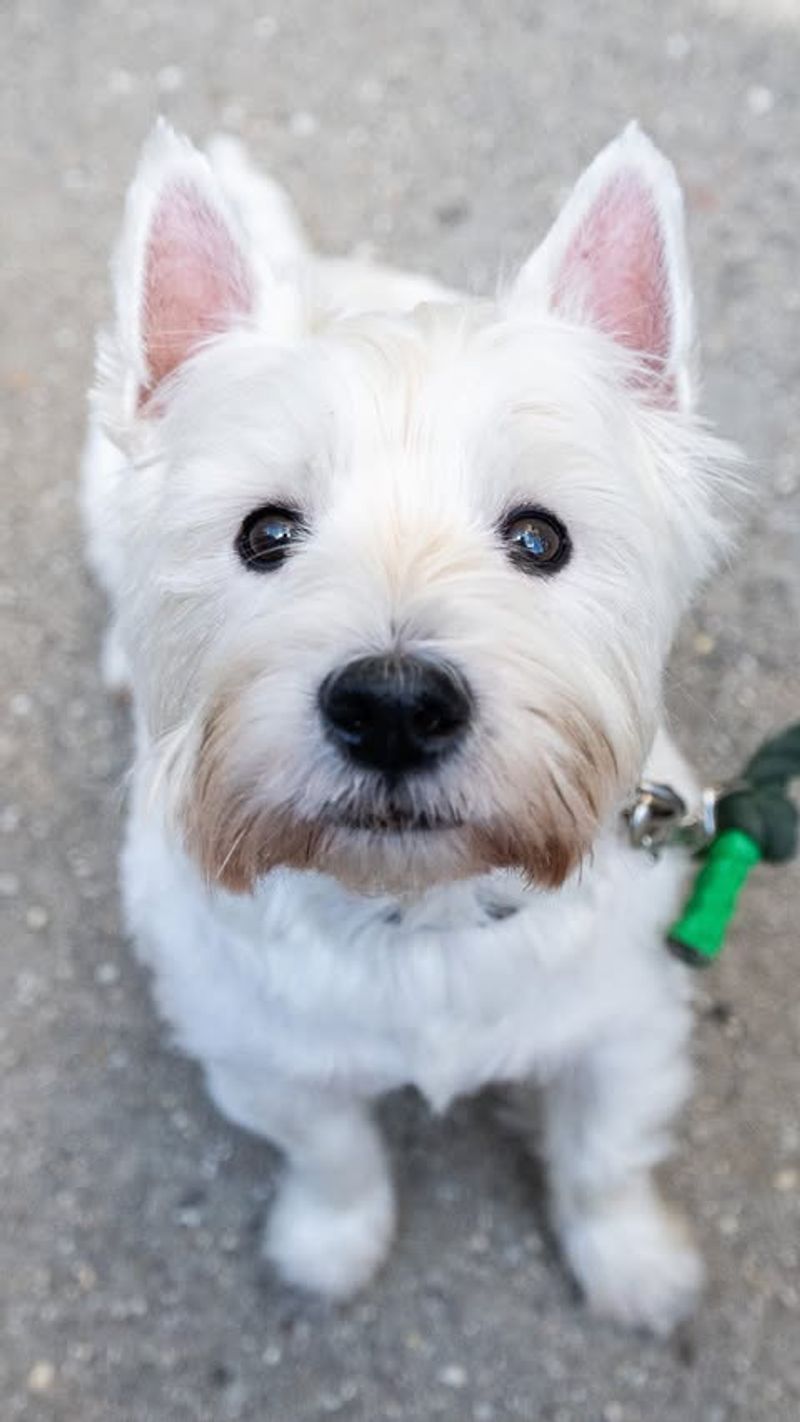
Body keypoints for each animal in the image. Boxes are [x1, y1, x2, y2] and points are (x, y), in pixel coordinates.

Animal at [81, 119, 738, 1330]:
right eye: (264, 533)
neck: (416, 916)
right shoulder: (261, 1055)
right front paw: (330, 1252)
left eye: (538, 538)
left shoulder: (626, 1028)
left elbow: (603, 1157)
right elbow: (332, 1156)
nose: (391, 708)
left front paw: (632, 1266)